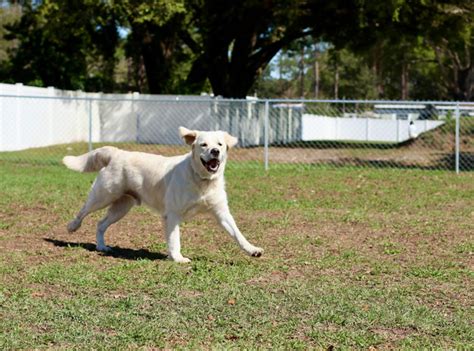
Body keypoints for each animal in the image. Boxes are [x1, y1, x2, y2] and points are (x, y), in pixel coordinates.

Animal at [62, 128, 262, 262]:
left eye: (220, 144)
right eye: (203, 145)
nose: (215, 151)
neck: (202, 180)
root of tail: (117, 152)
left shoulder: (222, 213)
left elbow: (238, 234)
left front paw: (252, 250)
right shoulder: (172, 214)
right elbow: (175, 239)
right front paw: (178, 258)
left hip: (121, 207)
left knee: (100, 224)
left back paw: (102, 246)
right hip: (103, 196)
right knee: (83, 211)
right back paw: (72, 226)